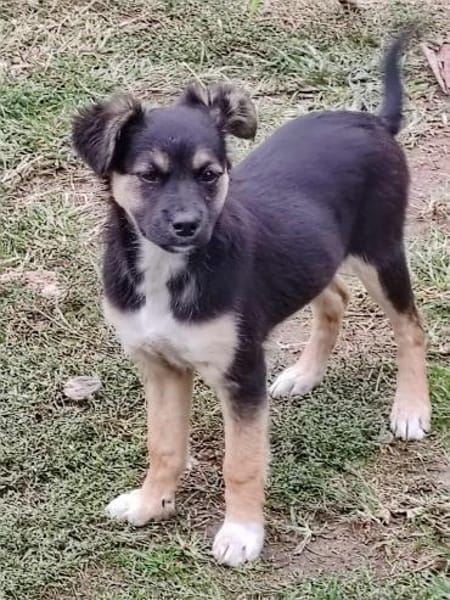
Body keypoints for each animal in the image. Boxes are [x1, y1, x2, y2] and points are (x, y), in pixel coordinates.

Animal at [72, 35, 430, 567]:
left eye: (209, 174)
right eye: (149, 176)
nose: (187, 226)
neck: (167, 271)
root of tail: (374, 122)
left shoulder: (241, 374)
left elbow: (240, 461)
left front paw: (242, 533)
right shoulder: (159, 366)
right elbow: (163, 445)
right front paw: (150, 503)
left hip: (380, 251)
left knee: (411, 326)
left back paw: (410, 409)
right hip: (320, 256)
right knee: (335, 298)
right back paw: (304, 375)